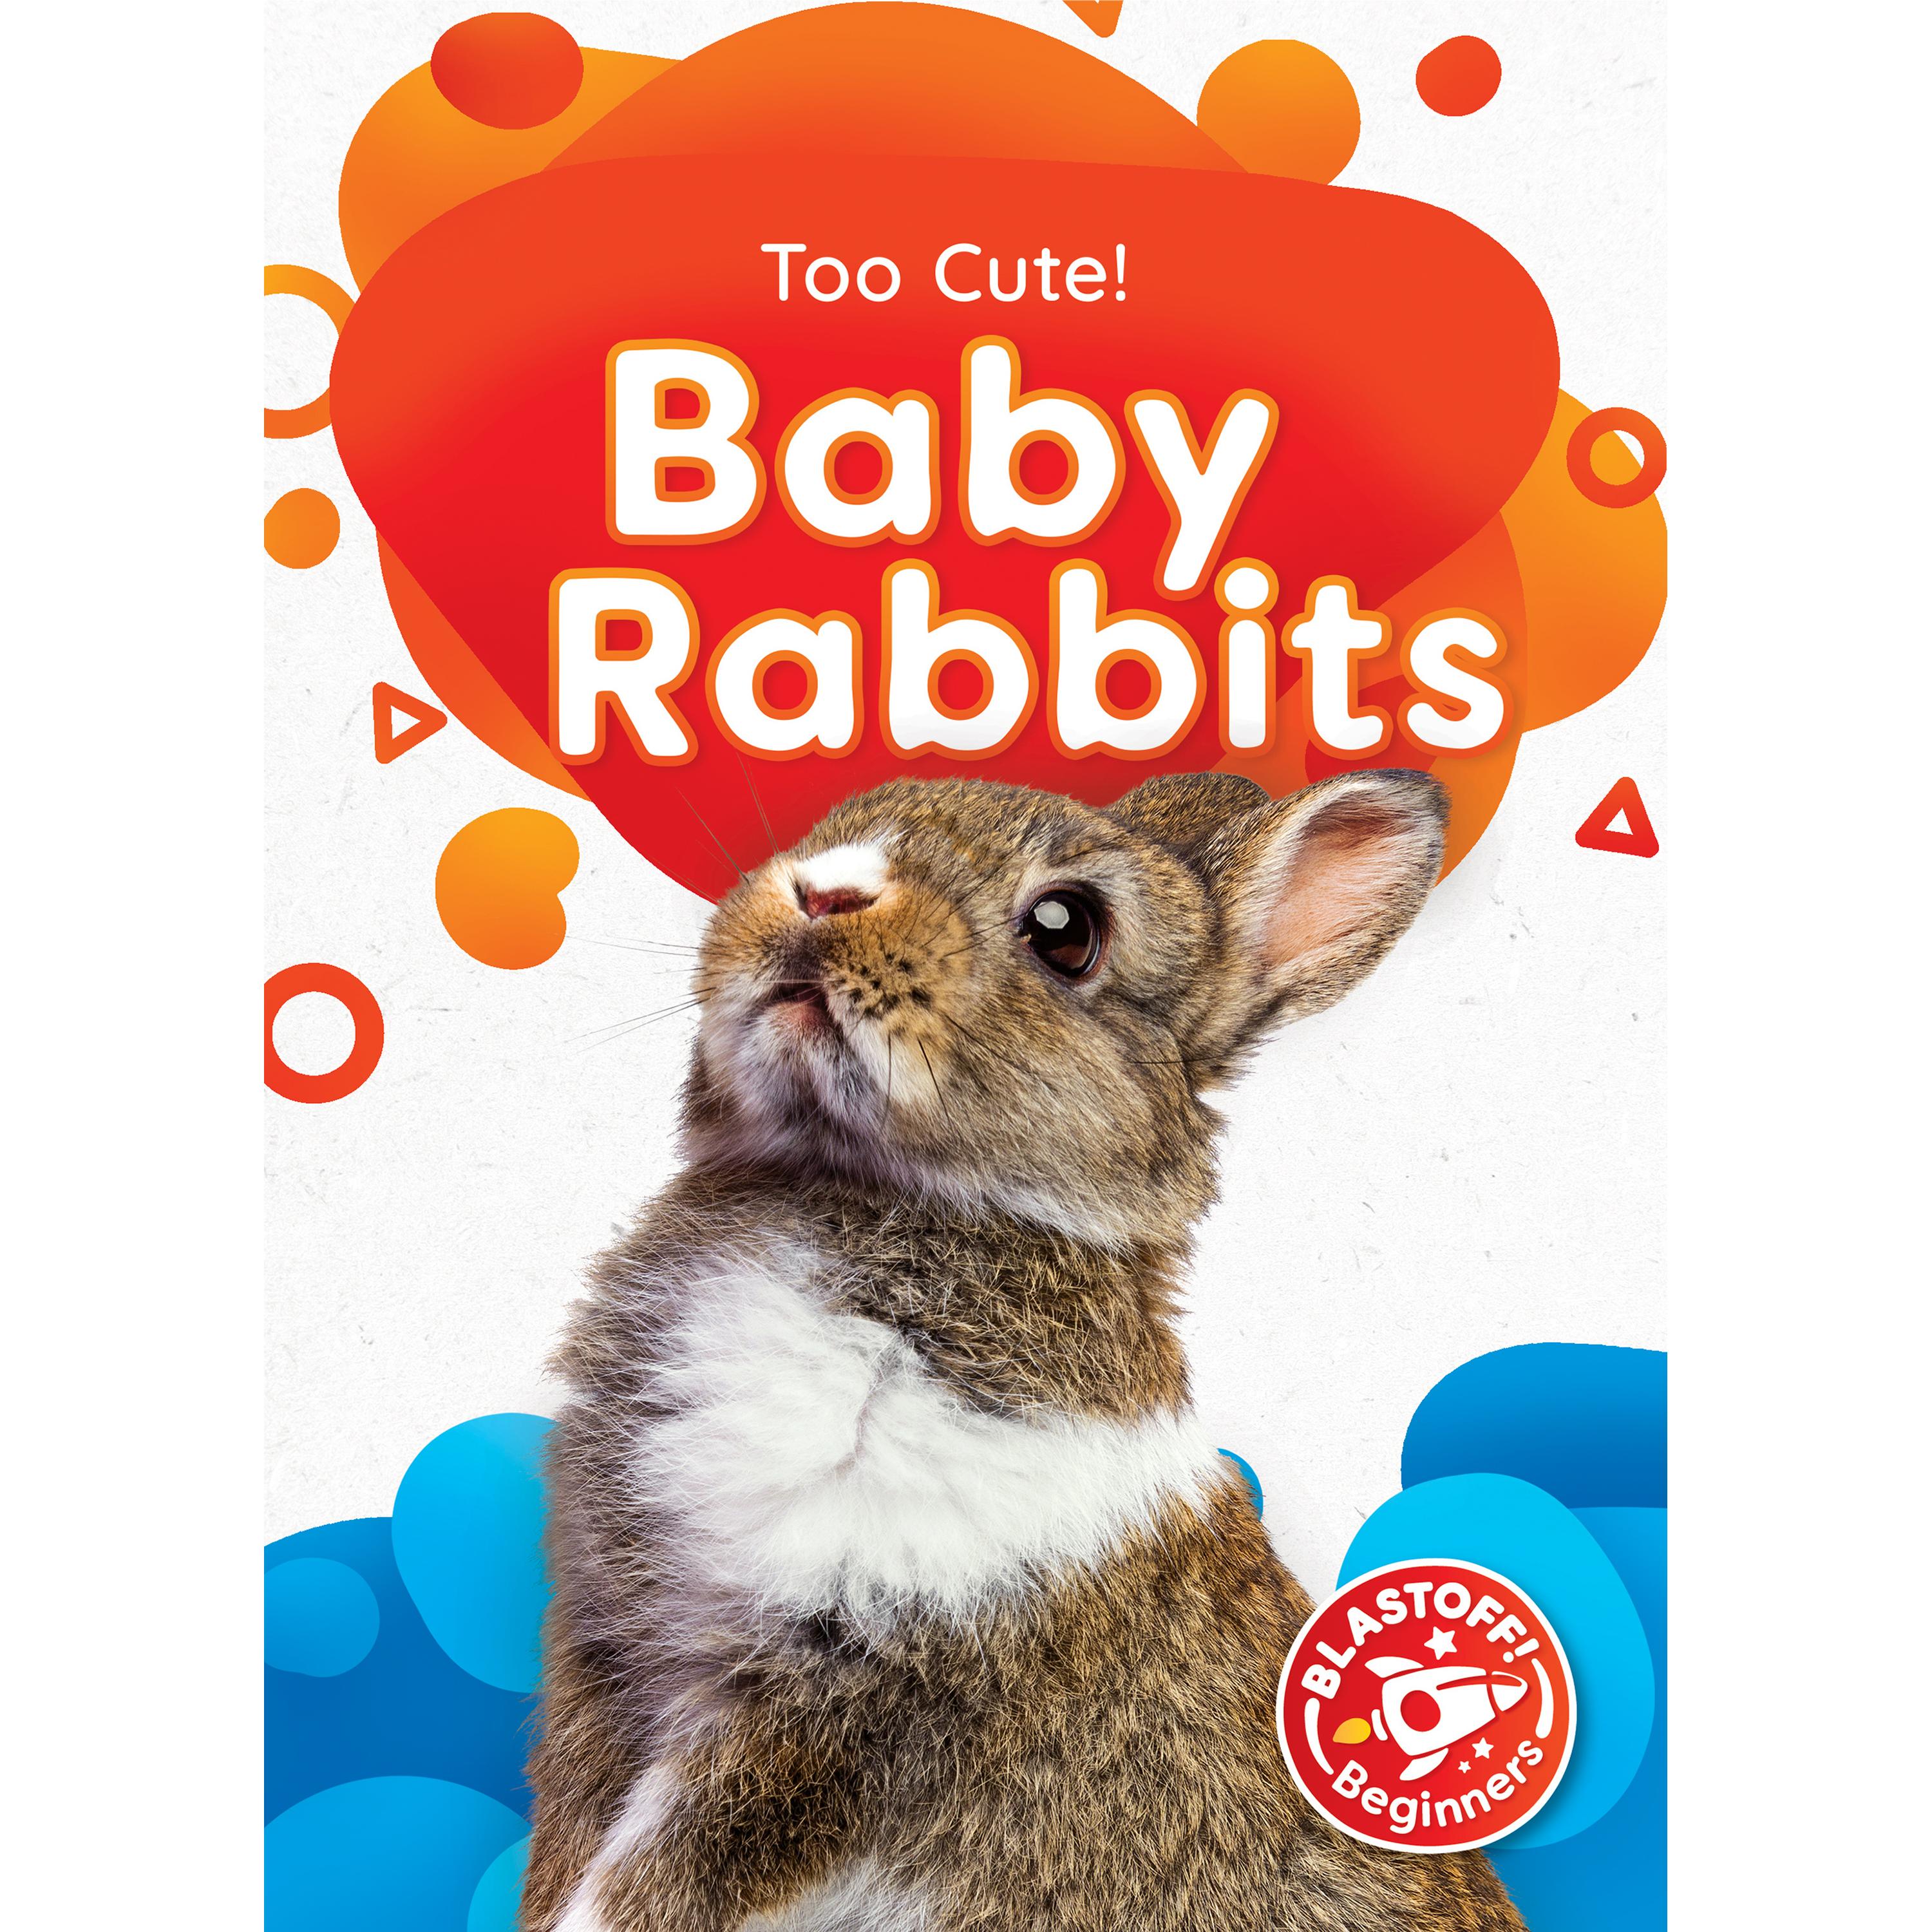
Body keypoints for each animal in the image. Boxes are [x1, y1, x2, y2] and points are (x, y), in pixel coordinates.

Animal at [522, 766, 1523, 1932]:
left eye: (1066, 931)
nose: (824, 893)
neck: (853, 1193)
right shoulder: (605, 1657)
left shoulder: (836, 1706)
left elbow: (648, 1881)